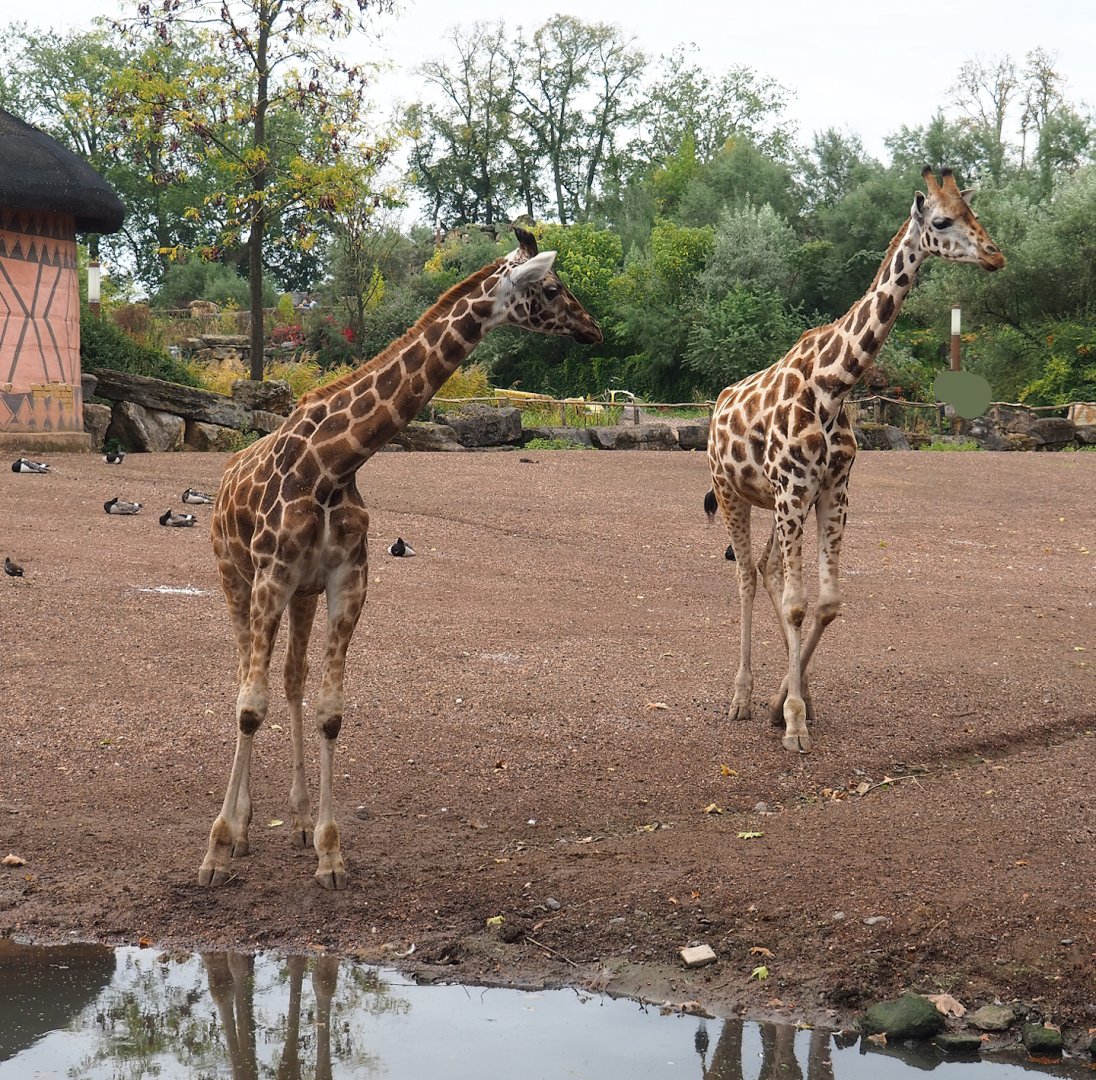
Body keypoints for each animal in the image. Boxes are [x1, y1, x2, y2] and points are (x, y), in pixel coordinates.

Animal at [199, 227, 602, 889]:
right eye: (550, 288)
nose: (592, 328)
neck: (333, 466)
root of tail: (226, 472)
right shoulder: (269, 579)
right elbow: (249, 708)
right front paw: (218, 848)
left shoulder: (346, 582)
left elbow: (329, 710)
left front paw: (329, 851)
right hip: (235, 578)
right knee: (244, 681)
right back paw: (245, 826)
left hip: (300, 595)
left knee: (291, 678)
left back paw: (298, 818)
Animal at [705, 167, 1005, 752]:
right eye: (942, 221)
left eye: (973, 213)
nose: (994, 255)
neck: (834, 385)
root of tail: (717, 407)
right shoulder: (795, 487)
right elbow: (799, 603)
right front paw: (793, 722)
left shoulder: (831, 489)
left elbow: (825, 603)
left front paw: (791, 702)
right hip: (732, 492)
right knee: (747, 576)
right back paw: (740, 698)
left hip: (774, 500)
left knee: (766, 568)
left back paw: (777, 694)